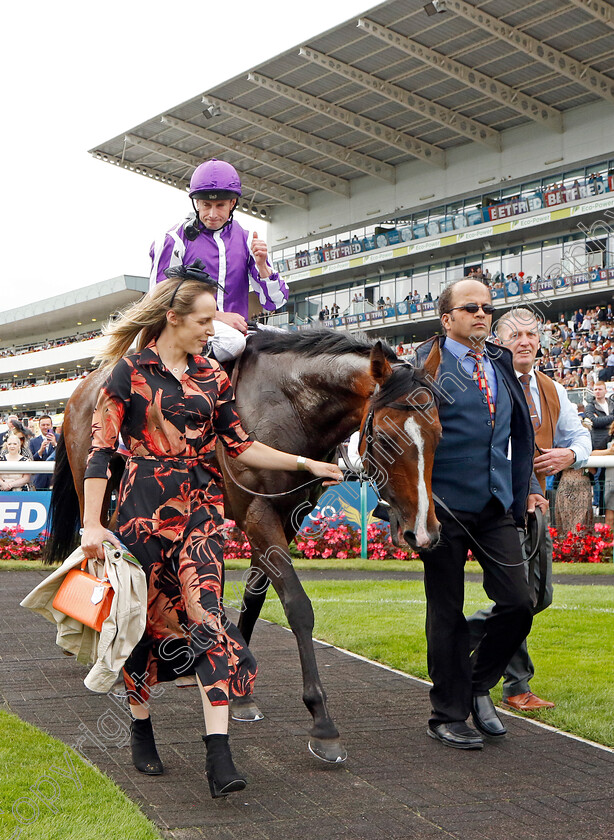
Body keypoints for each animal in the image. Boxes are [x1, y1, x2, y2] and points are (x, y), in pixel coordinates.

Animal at [47, 332, 442, 764]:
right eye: (385, 437)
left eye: (439, 434)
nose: (422, 532)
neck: (289, 405)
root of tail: (83, 386)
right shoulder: (258, 514)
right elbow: (297, 606)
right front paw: (322, 722)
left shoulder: (287, 516)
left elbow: (255, 598)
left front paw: (240, 692)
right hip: (97, 482)